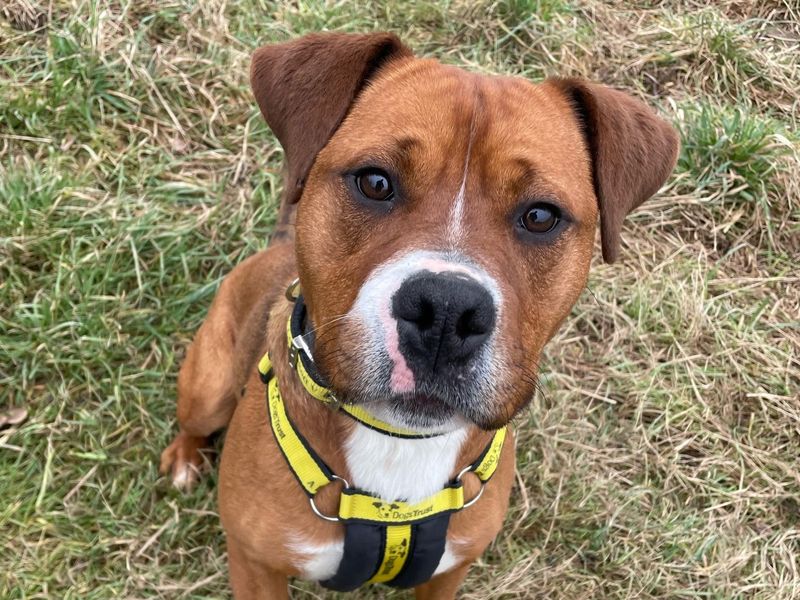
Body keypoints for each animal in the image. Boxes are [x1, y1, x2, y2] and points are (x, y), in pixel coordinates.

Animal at [159, 32, 680, 600]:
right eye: (375, 182)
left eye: (541, 215)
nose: (446, 311)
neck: (397, 445)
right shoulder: (256, 568)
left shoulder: (449, 571)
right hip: (209, 384)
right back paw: (184, 459)